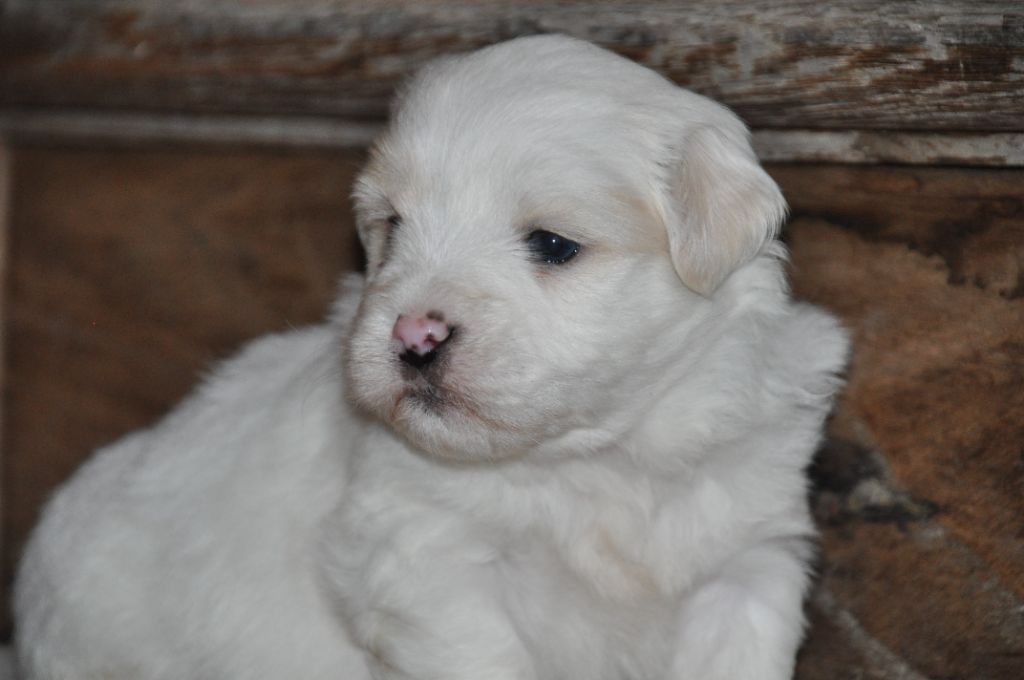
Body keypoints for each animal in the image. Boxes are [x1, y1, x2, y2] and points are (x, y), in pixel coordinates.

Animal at [14, 34, 847, 675]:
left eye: (553, 244)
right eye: (394, 225)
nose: (412, 334)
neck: (598, 461)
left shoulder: (744, 571)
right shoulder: (427, 566)